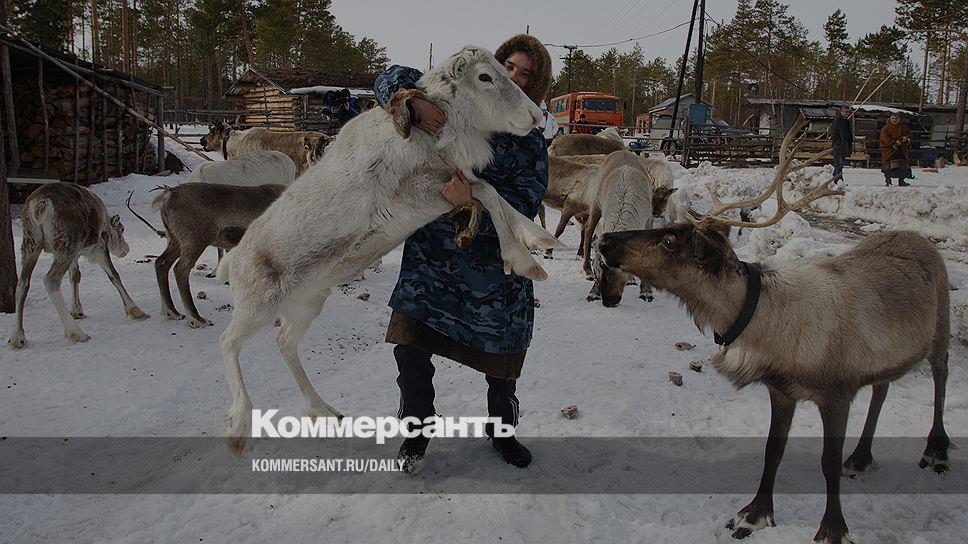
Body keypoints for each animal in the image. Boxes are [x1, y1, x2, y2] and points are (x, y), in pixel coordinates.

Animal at [7, 184, 149, 349]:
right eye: (122, 229)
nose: (126, 249)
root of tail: (40, 204)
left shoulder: (75, 256)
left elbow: (75, 277)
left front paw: (77, 311)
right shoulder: (99, 247)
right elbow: (114, 275)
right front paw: (136, 310)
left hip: (32, 243)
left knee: (23, 283)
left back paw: (17, 337)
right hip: (66, 245)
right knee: (51, 280)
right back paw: (77, 333)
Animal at [597, 117, 951, 544]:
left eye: (668, 241)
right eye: (673, 228)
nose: (605, 239)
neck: (767, 324)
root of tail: (923, 241)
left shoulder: (837, 393)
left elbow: (826, 462)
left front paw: (833, 529)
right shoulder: (781, 390)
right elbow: (773, 450)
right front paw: (754, 514)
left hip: (941, 329)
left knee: (941, 375)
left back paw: (935, 449)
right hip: (887, 356)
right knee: (882, 388)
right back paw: (861, 457)